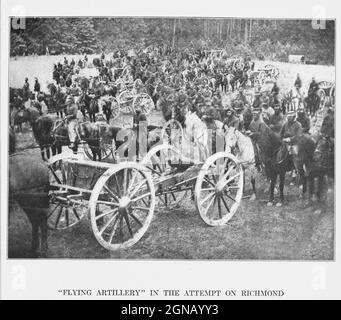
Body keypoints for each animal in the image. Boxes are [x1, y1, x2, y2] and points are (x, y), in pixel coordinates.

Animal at [8, 127, 49, 258]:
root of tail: (44, 167)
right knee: (36, 221)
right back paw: (34, 249)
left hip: (32, 200)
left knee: (40, 220)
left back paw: (42, 250)